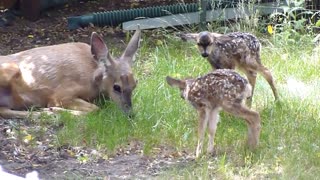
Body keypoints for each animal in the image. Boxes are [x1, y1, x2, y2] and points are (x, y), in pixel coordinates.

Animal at [0, 27, 141, 118]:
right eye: (116, 87)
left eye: (135, 84)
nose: (131, 114)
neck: (92, 76)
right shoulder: (61, 94)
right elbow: (95, 109)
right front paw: (54, 108)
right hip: (11, 69)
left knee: (5, 111)